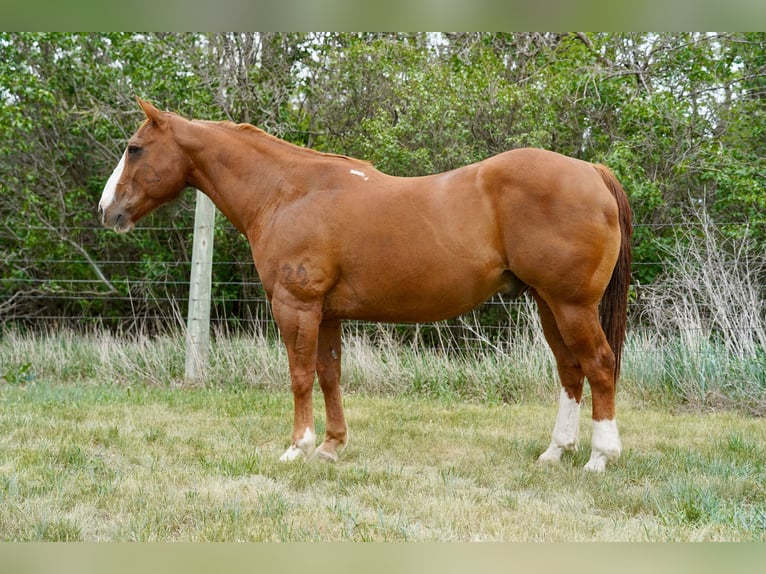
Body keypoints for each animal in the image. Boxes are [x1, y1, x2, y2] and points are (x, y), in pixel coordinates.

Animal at [99, 98, 632, 472]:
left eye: (134, 148)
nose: (107, 211)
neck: (288, 192)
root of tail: (592, 171)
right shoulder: (327, 313)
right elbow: (329, 375)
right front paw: (331, 447)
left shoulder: (296, 307)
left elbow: (299, 376)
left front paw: (298, 447)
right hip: (548, 305)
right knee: (571, 371)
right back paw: (555, 452)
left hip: (571, 305)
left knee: (600, 366)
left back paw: (599, 457)